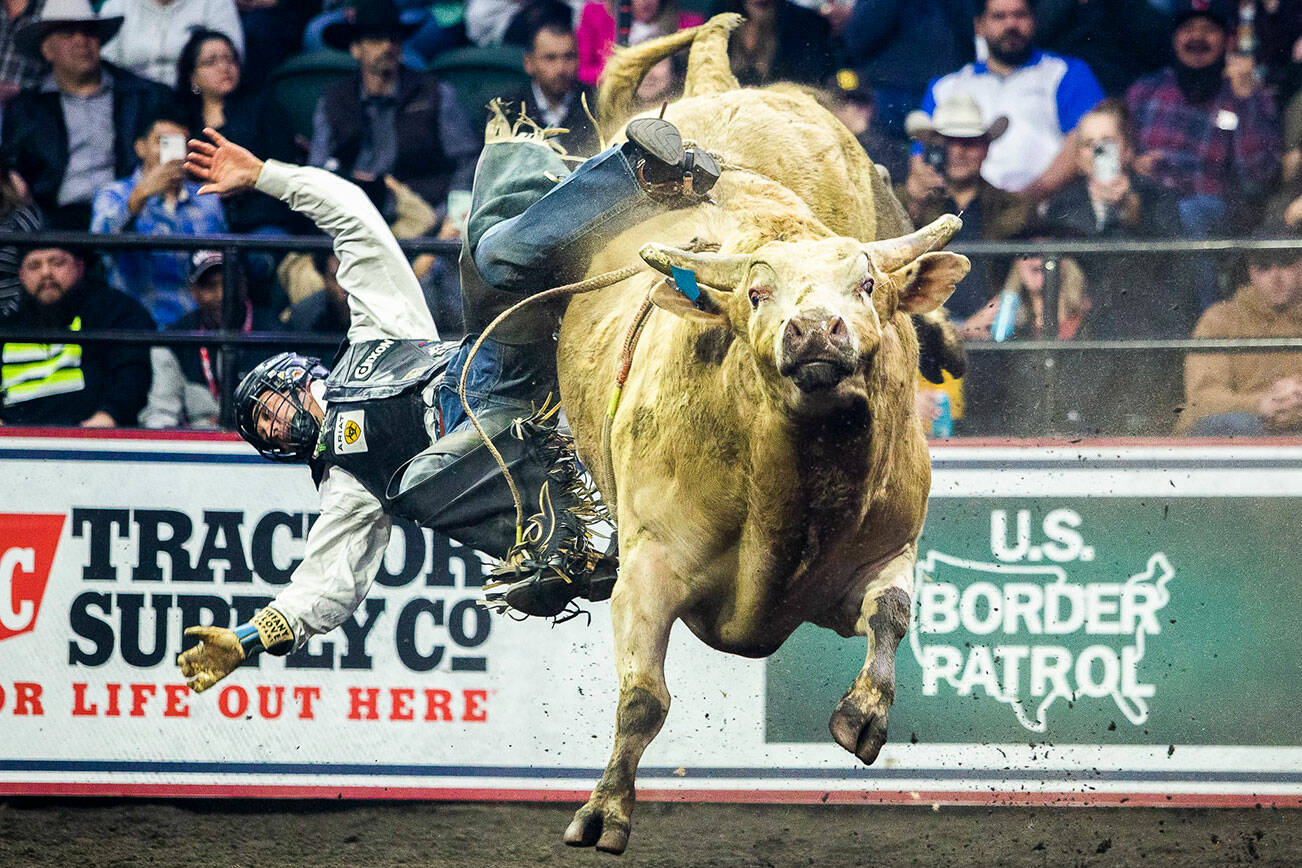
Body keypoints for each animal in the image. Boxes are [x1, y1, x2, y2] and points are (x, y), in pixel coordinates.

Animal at [544, 11, 973, 853]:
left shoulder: (882, 552)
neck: (790, 492)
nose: (815, 331)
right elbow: (643, 697)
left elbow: (891, 615)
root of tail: (720, 86)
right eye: (755, 291)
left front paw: (861, 718)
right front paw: (604, 812)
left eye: (866, 283)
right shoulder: (648, 564)